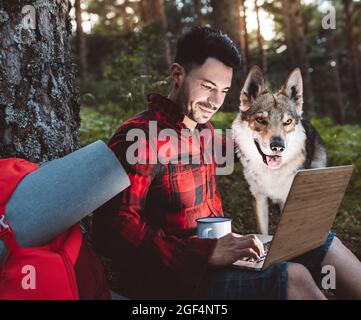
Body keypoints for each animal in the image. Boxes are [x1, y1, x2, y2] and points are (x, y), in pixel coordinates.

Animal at [231, 65, 326, 235]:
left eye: (287, 121)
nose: (278, 146)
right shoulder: (259, 197)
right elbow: (263, 231)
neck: (271, 172)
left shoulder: (287, 200)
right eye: (260, 120)